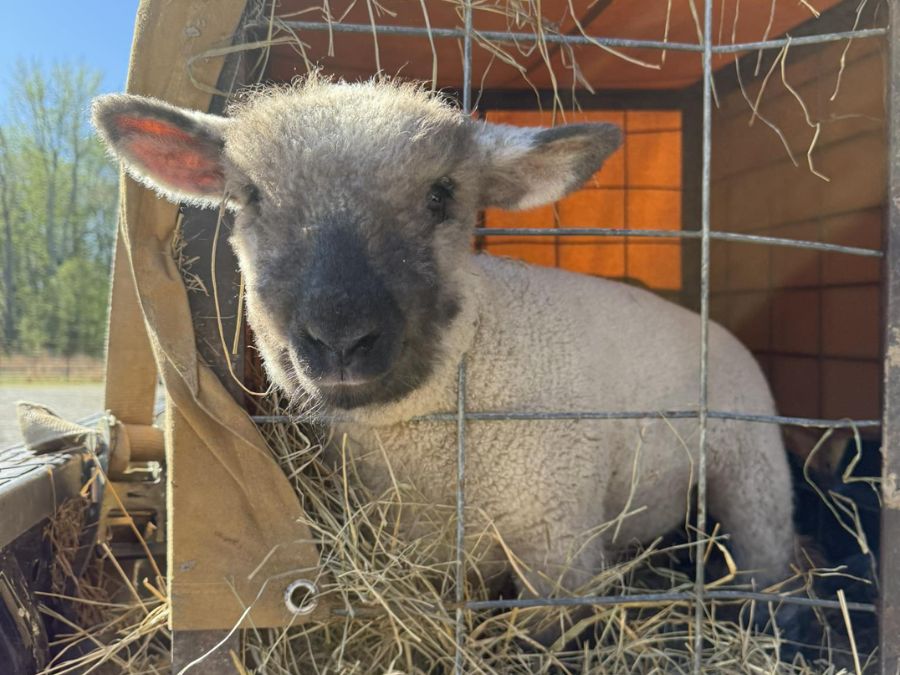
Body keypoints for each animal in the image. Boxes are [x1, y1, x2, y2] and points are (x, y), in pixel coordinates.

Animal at [92, 77, 795, 631]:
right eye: (251, 197)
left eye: (441, 195)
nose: (341, 338)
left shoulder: (558, 546)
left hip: (753, 469)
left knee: (768, 555)